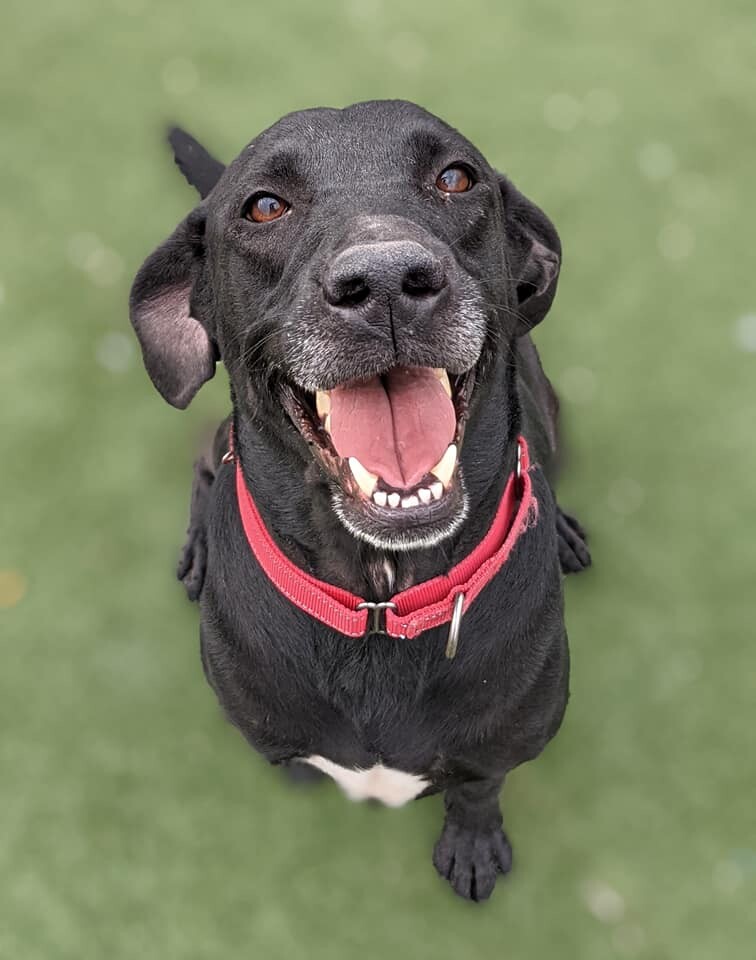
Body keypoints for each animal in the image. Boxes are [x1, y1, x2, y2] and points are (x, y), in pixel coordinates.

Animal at [130, 101, 592, 904]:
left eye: (456, 178)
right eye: (264, 206)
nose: (386, 282)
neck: (379, 600)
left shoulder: (501, 746)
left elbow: (479, 787)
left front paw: (472, 844)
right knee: (205, 458)